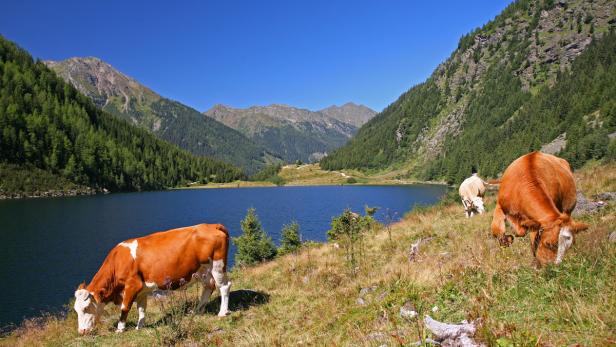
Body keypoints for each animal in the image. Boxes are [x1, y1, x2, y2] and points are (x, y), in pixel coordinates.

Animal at [73, 224, 231, 336]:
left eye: (86, 308)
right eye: (76, 310)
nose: (81, 332)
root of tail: (212, 225)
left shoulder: (132, 285)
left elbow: (125, 308)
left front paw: (120, 329)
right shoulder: (142, 290)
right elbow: (142, 309)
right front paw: (139, 327)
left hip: (217, 265)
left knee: (224, 286)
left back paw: (222, 313)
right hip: (203, 271)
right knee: (209, 287)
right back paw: (197, 311)